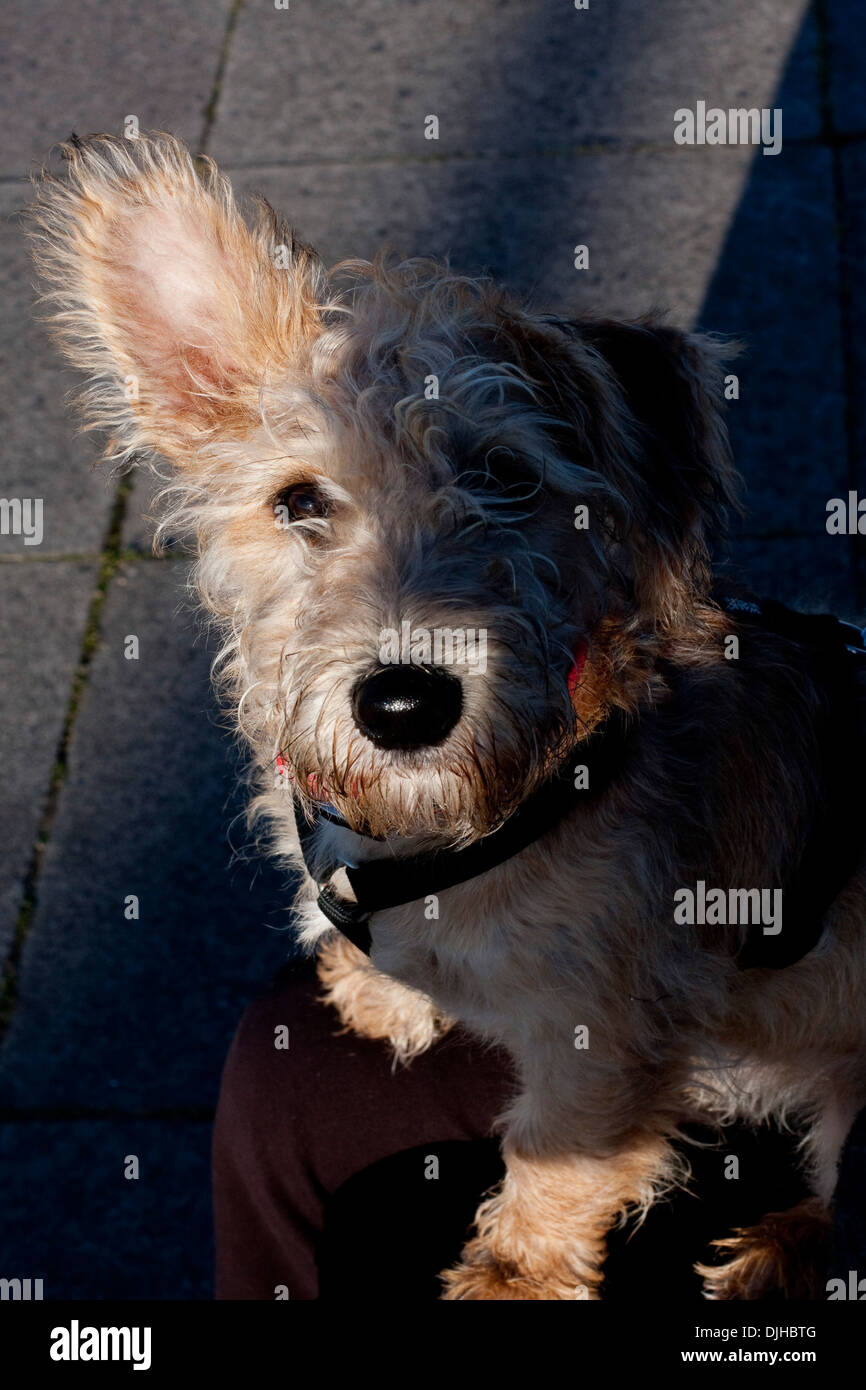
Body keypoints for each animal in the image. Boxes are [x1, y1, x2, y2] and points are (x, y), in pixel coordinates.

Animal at [27, 132, 866, 1301]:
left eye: (508, 477)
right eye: (299, 501)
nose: (405, 701)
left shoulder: (604, 1040)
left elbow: (557, 1160)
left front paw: (510, 1276)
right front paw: (389, 993)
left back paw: (774, 1253)